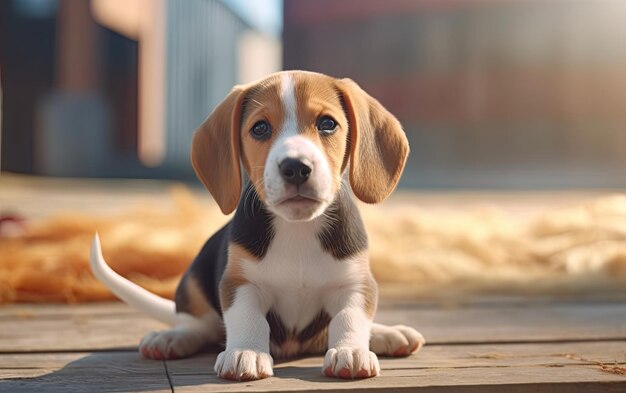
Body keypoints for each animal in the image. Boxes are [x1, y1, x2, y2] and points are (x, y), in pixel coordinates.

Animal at [90, 70, 424, 380]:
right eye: (260, 128)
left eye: (328, 123)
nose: (296, 167)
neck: (297, 229)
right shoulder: (239, 283)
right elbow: (247, 317)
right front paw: (245, 352)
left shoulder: (355, 283)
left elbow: (349, 317)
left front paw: (351, 350)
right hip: (195, 277)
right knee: (199, 324)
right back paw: (172, 337)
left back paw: (387, 333)